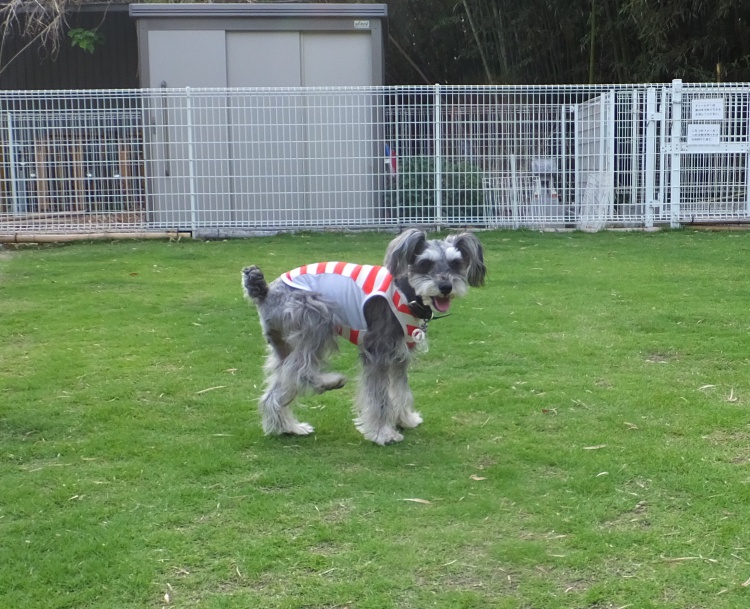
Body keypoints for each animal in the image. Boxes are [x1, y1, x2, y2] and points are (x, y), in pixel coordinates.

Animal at [242, 228, 485, 445]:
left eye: (456, 263)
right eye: (425, 263)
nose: (445, 286)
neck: (406, 293)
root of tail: (265, 292)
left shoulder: (400, 355)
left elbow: (401, 390)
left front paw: (405, 419)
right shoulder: (377, 352)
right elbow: (379, 397)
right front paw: (383, 433)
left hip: (283, 345)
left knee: (280, 384)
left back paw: (287, 427)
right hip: (317, 322)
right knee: (300, 372)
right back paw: (329, 382)